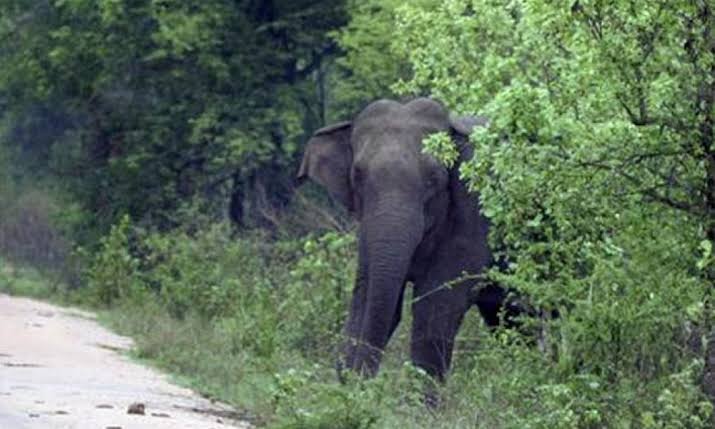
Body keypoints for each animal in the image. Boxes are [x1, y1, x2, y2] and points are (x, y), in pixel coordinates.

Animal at [296, 98, 516, 382]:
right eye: (357, 174)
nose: (356, 378)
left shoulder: (476, 211)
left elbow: (435, 307)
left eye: (434, 177)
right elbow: (367, 293)